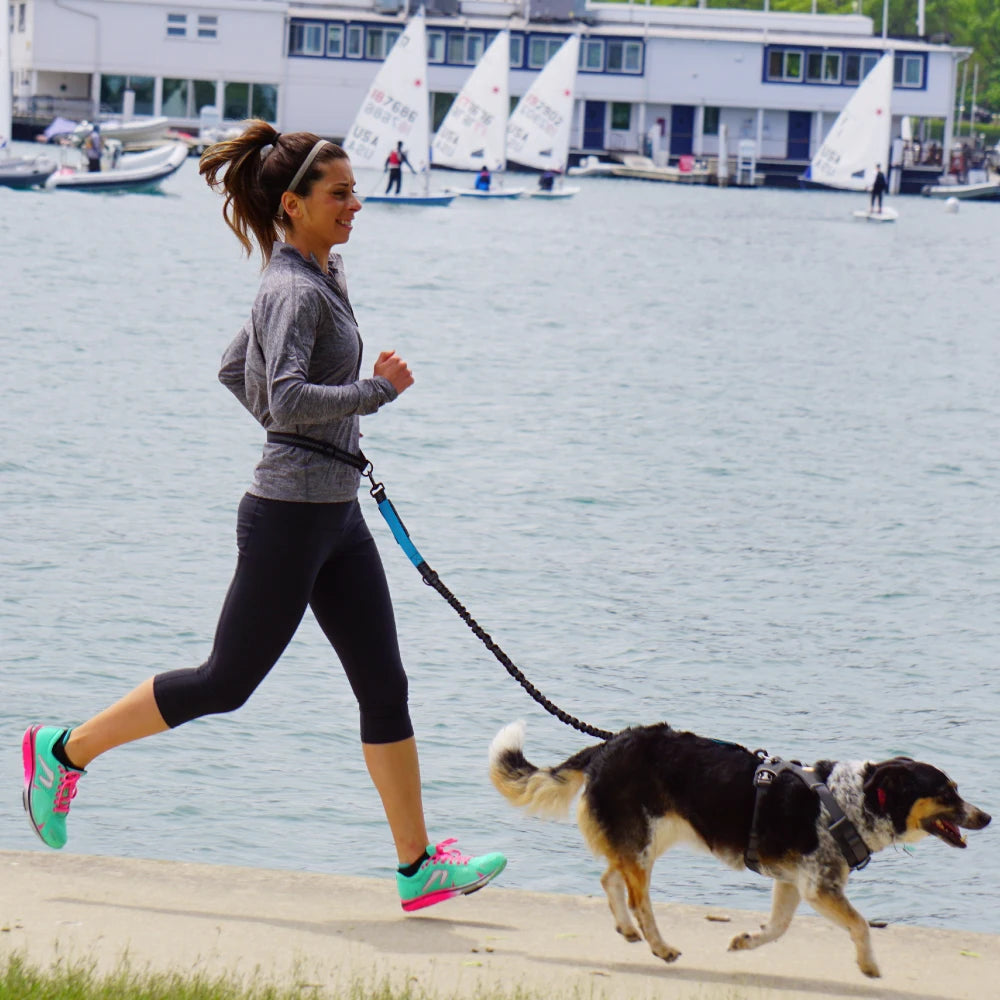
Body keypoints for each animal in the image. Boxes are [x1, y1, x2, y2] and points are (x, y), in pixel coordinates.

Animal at [488, 720, 988, 976]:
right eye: (947, 792)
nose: (985, 817)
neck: (854, 800)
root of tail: (607, 745)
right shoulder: (820, 887)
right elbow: (862, 925)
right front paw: (868, 966)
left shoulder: (794, 884)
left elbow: (778, 928)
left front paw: (745, 941)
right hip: (645, 841)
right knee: (638, 898)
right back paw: (659, 945)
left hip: (650, 838)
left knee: (611, 876)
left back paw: (628, 930)